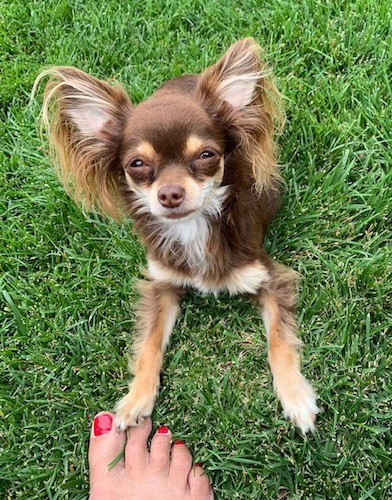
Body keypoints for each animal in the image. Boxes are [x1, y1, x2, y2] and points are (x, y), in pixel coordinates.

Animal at [36, 37, 318, 432]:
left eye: (206, 155)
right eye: (136, 164)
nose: (169, 194)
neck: (193, 226)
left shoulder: (271, 278)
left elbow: (279, 338)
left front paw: (296, 397)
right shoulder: (161, 285)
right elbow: (150, 344)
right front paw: (135, 399)